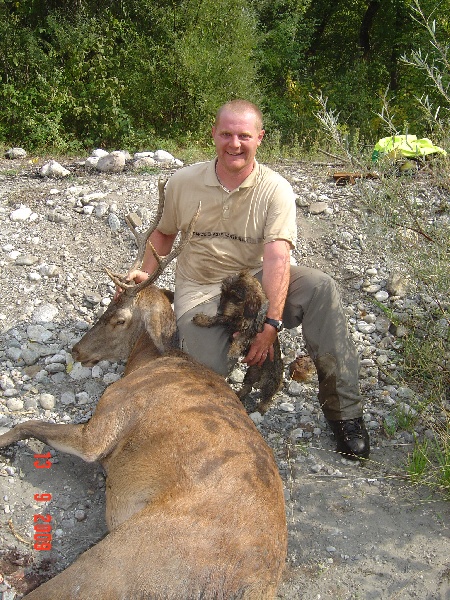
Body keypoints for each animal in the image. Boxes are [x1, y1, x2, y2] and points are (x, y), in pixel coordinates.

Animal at [192, 270, 284, 414]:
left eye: (235, 296)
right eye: (223, 293)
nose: (219, 310)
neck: (242, 314)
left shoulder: (253, 333)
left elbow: (241, 337)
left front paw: (233, 350)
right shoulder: (228, 319)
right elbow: (217, 319)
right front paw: (203, 319)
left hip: (271, 382)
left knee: (268, 398)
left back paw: (261, 408)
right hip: (251, 373)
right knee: (248, 387)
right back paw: (239, 394)